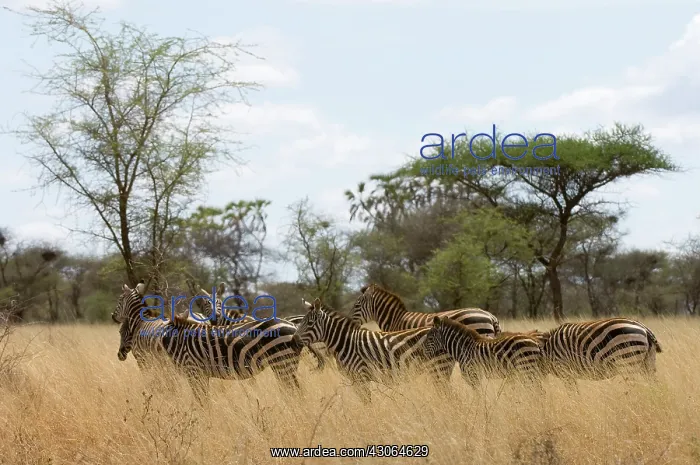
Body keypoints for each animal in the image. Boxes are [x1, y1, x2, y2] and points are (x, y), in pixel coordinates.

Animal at [114, 281, 305, 402]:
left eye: (122, 331)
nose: (120, 354)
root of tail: (293, 326)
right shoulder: (199, 374)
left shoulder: (192, 371)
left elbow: (201, 401)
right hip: (285, 365)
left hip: (282, 363)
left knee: (294, 392)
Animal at [292, 297, 452, 402]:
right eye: (300, 322)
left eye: (310, 323)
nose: (293, 341)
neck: (345, 343)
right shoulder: (356, 379)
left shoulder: (361, 376)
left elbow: (367, 402)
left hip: (439, 367)